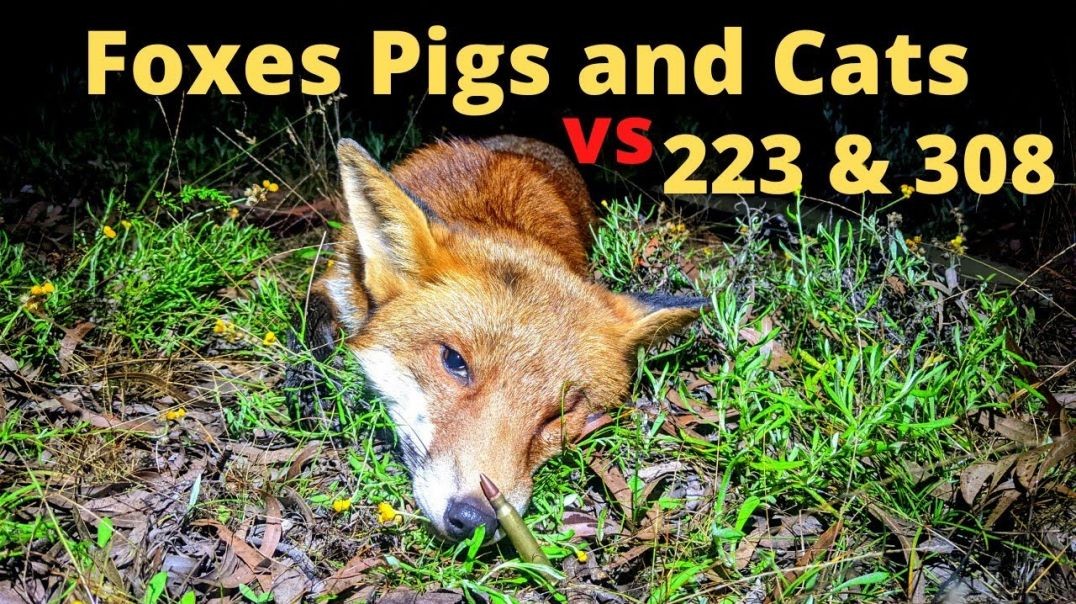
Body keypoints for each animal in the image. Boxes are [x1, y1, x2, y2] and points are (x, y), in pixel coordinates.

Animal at [295, 135, 705, 541]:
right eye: (455, 362)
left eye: (560, 414)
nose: (475, 519)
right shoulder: (334, 282)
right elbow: (307, 328)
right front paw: (314, 389)